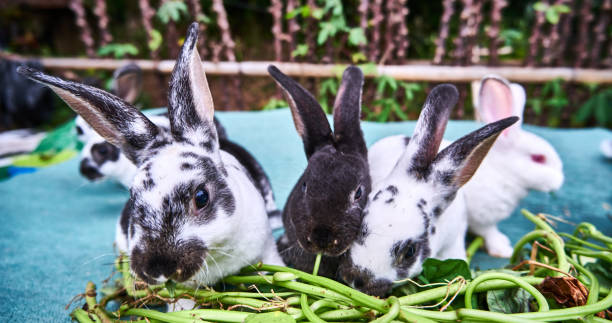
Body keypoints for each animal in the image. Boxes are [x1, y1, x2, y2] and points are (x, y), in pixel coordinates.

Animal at [464, 75, 564, 258]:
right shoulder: (482, 219)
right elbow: (488, 232)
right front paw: (503, 249)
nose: (560, 181)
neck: (501, 172)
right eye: (538, 158)